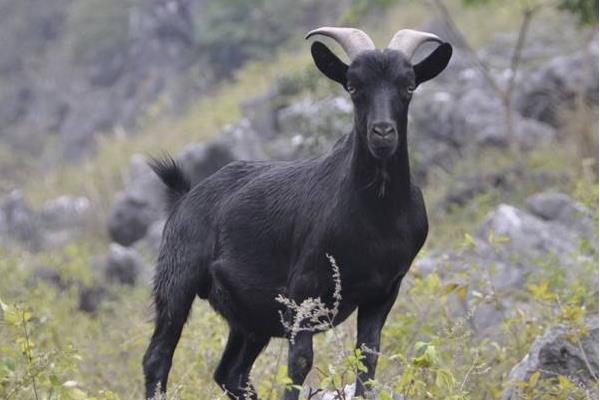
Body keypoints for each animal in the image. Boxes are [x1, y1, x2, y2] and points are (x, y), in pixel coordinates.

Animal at [143, 26, 452, 398]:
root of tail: (184, 196)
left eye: (408, 86)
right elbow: (300, 364)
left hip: (250, 318)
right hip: (177, 278)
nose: (382, 132)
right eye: (353, 87)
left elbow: (368, 359)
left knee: (230, 372)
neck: (375, 218)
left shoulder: (383, 292)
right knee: (158, 357)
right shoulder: (304, 289)